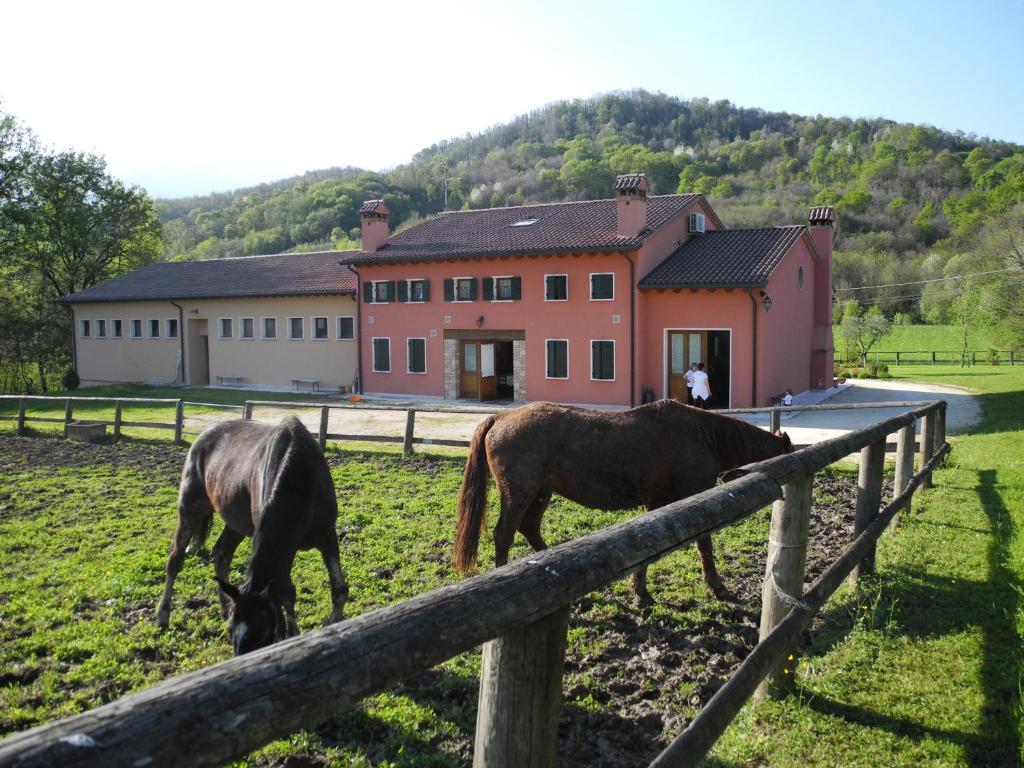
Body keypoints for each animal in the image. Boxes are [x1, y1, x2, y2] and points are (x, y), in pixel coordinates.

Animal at [154, 415, 348, 655]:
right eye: (230, 632)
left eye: (260, 632)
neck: (298, 479)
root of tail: (203, 436)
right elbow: (285, 593)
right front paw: (289, 635)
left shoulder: (327, 536)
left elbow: (338, 589)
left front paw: (333, 623)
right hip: (191, 509)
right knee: (175, 560)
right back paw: (163, 615)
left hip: (236, 524)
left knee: (221, 553)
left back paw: (225, 605)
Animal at [452, 399, 794, 606]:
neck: (702, 437)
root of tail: (501, 417)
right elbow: (704, 545)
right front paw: (715, 586)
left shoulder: (656, 502)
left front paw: (639, 591)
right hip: (519, 495)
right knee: (504, 535)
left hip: (541, 493)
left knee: (530, 529)